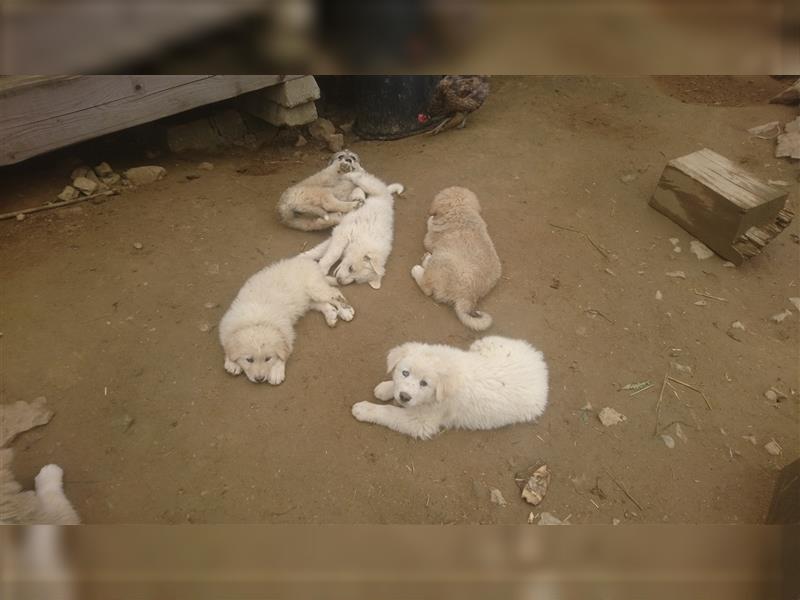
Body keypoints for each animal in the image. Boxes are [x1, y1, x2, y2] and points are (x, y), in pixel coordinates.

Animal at [354, 338, 548, 440]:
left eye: (424, 383)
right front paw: (386, 388)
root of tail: (540, 367)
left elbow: (389, 412)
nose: (404, 397)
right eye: (405, 373)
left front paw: (364, 409)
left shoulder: (422, 421)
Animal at [412, 186, 500, 330]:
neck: (461, 210)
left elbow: (430, 225)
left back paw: (419, 267)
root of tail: (467, 297)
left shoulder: (429, 239)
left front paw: (430, 219)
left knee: (427, 287)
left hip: (442, 259)